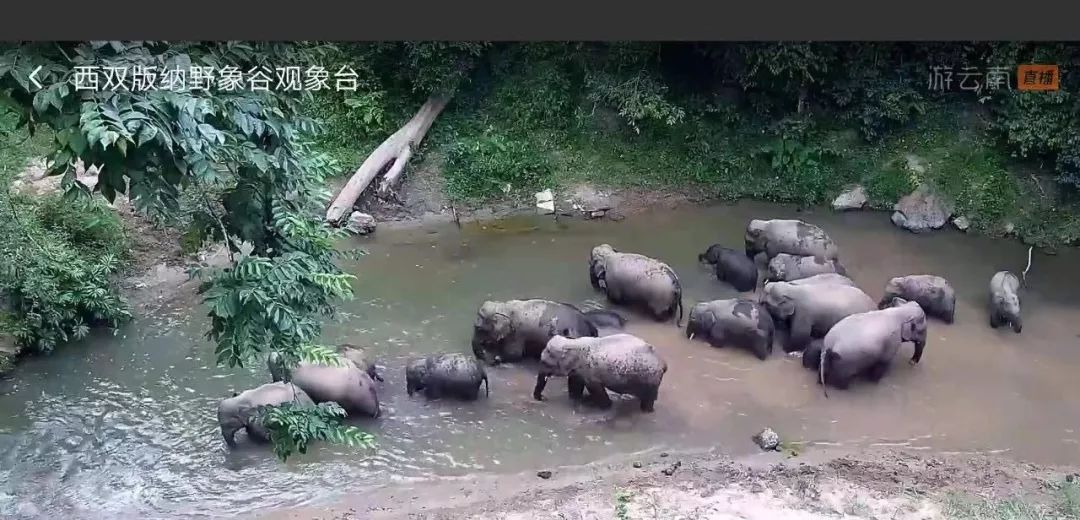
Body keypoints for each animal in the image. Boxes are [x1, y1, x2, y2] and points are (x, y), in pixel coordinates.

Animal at [468, 296, 596, 365]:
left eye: (479, 328)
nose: (488, 360)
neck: (503, 306)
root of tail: (590, 325)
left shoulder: (516, 334)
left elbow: (515, 355)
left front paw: (497, 358)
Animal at [531, 332, 665, 412]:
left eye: (545, 363)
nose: (542, 398)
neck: (573, 343)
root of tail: (663, 364)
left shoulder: (590, 372)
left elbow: (596, 389)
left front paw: (606, 405)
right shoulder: (578, 370)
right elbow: (575, 384)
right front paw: (577, 399)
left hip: (650, 378)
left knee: (649, 398)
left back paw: (647, 410)